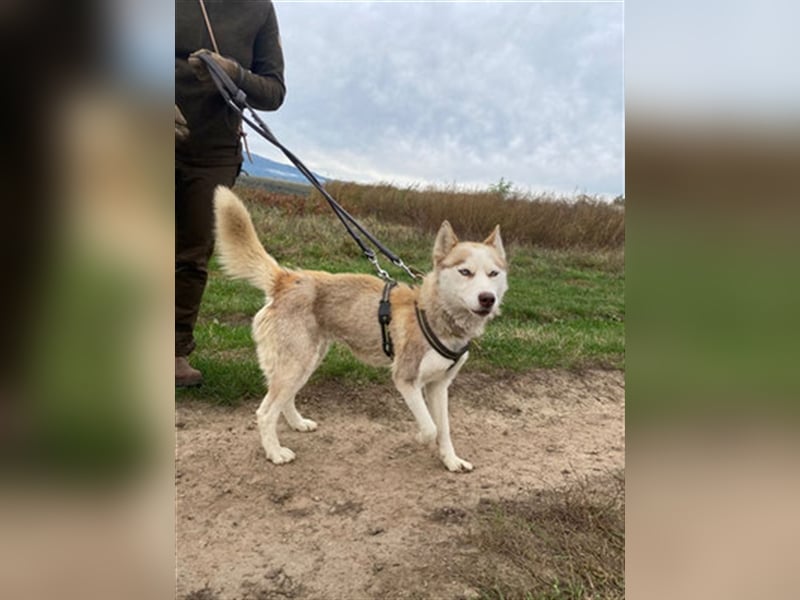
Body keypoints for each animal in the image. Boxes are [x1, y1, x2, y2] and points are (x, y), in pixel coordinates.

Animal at [214, 185, 506, 472]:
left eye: (493, 274)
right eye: (465, 272)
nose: (487, 299)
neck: (436, 315)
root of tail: (286, 279)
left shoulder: (439, 385)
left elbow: (444, 429)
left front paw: (451, 460)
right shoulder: (406, 379)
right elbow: (430, 428)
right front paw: (420, 439)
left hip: (306, 362)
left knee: (283, 400)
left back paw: (297, 423)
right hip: (295, 363)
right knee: (265, 412)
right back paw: (275, 452)